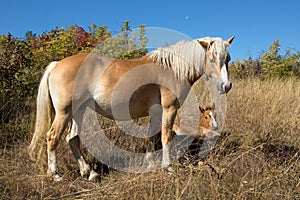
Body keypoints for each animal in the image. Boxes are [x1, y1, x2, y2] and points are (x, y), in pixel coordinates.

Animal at [28, 36, 234, 181]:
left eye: (228, 59)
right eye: (211, 58)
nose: (226, 86)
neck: (172, 69)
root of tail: (56, 64)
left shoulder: (156, 112)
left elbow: (151, 139)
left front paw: (149, 164)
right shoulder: (169, 109)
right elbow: (166, 137)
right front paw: (169, 169)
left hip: (77, 112)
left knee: (72, 139)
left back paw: (89, 173)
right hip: (64, 112)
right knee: (52, 137)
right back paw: (55, 175)